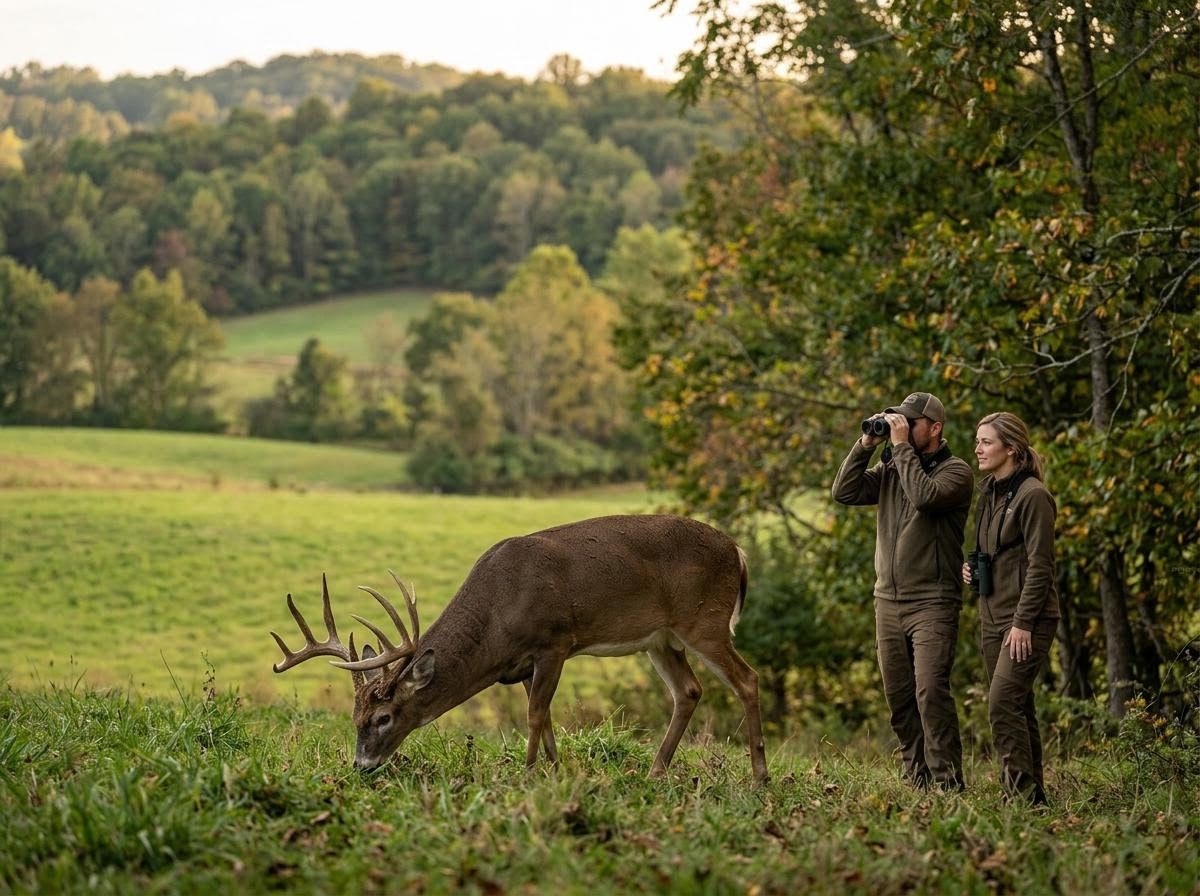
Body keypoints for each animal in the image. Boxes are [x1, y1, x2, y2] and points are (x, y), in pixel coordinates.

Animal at [270, 514, 768, 783]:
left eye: (384, 718)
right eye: (355, 718)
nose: (361, 765)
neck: (498, 617)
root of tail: (740, 553)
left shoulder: (554, 640)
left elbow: (534, 714)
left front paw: (527, 775)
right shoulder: (524, 664)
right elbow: (543, 718)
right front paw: (555, 770)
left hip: (704, 620)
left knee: (748, 678)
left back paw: (759, 777)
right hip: (662, 639)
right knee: (688, 691)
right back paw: (655, 771)